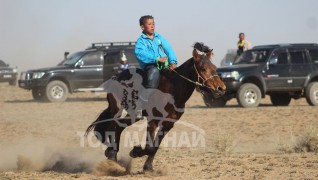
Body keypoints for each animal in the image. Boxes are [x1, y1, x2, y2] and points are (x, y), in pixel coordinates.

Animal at [85, 42, 226, 172]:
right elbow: (149, 146)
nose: (221, 88)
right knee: (113, 126)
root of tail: (117, 77)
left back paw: (113, 155)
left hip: (133, 115)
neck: (172, 92)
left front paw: (147, 167)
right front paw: (135, 151)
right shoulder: (153, 120)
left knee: (119, 127)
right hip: (117, 109)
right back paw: (111, 154)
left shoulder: (168, 124)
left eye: (214, 67)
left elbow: (155, 146)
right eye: (202, 68)